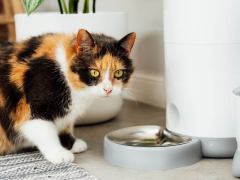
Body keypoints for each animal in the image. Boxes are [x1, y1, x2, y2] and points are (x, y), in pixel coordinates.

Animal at [0, 29, 135, 163]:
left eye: (118, 73)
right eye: (94, 72)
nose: (108, 89)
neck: (61, 72)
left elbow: (66, 125)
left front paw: (71, 144)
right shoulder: (31, 108)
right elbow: (45, 132)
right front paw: (58, 153)